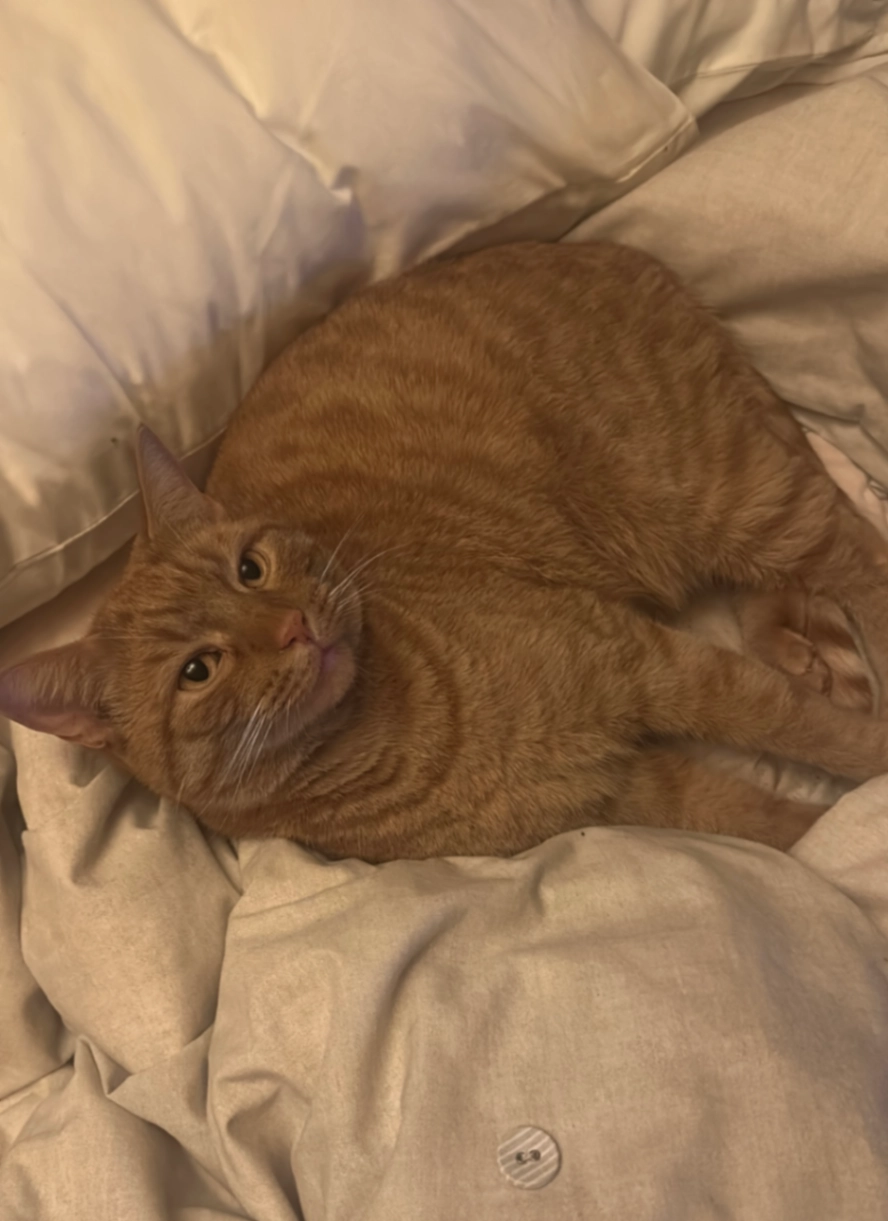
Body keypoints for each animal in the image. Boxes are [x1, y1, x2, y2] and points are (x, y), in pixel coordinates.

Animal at [2, 241, 888, 862]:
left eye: (250, 569)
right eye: (198, 670)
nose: (294, 626)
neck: (411, 743)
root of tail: (615, 249)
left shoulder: (657, 663)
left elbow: (810, 732)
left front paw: (866, 763)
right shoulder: (633, 792)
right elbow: (782, 824)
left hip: (731, 495)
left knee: (854, 550)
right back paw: (800, 645)